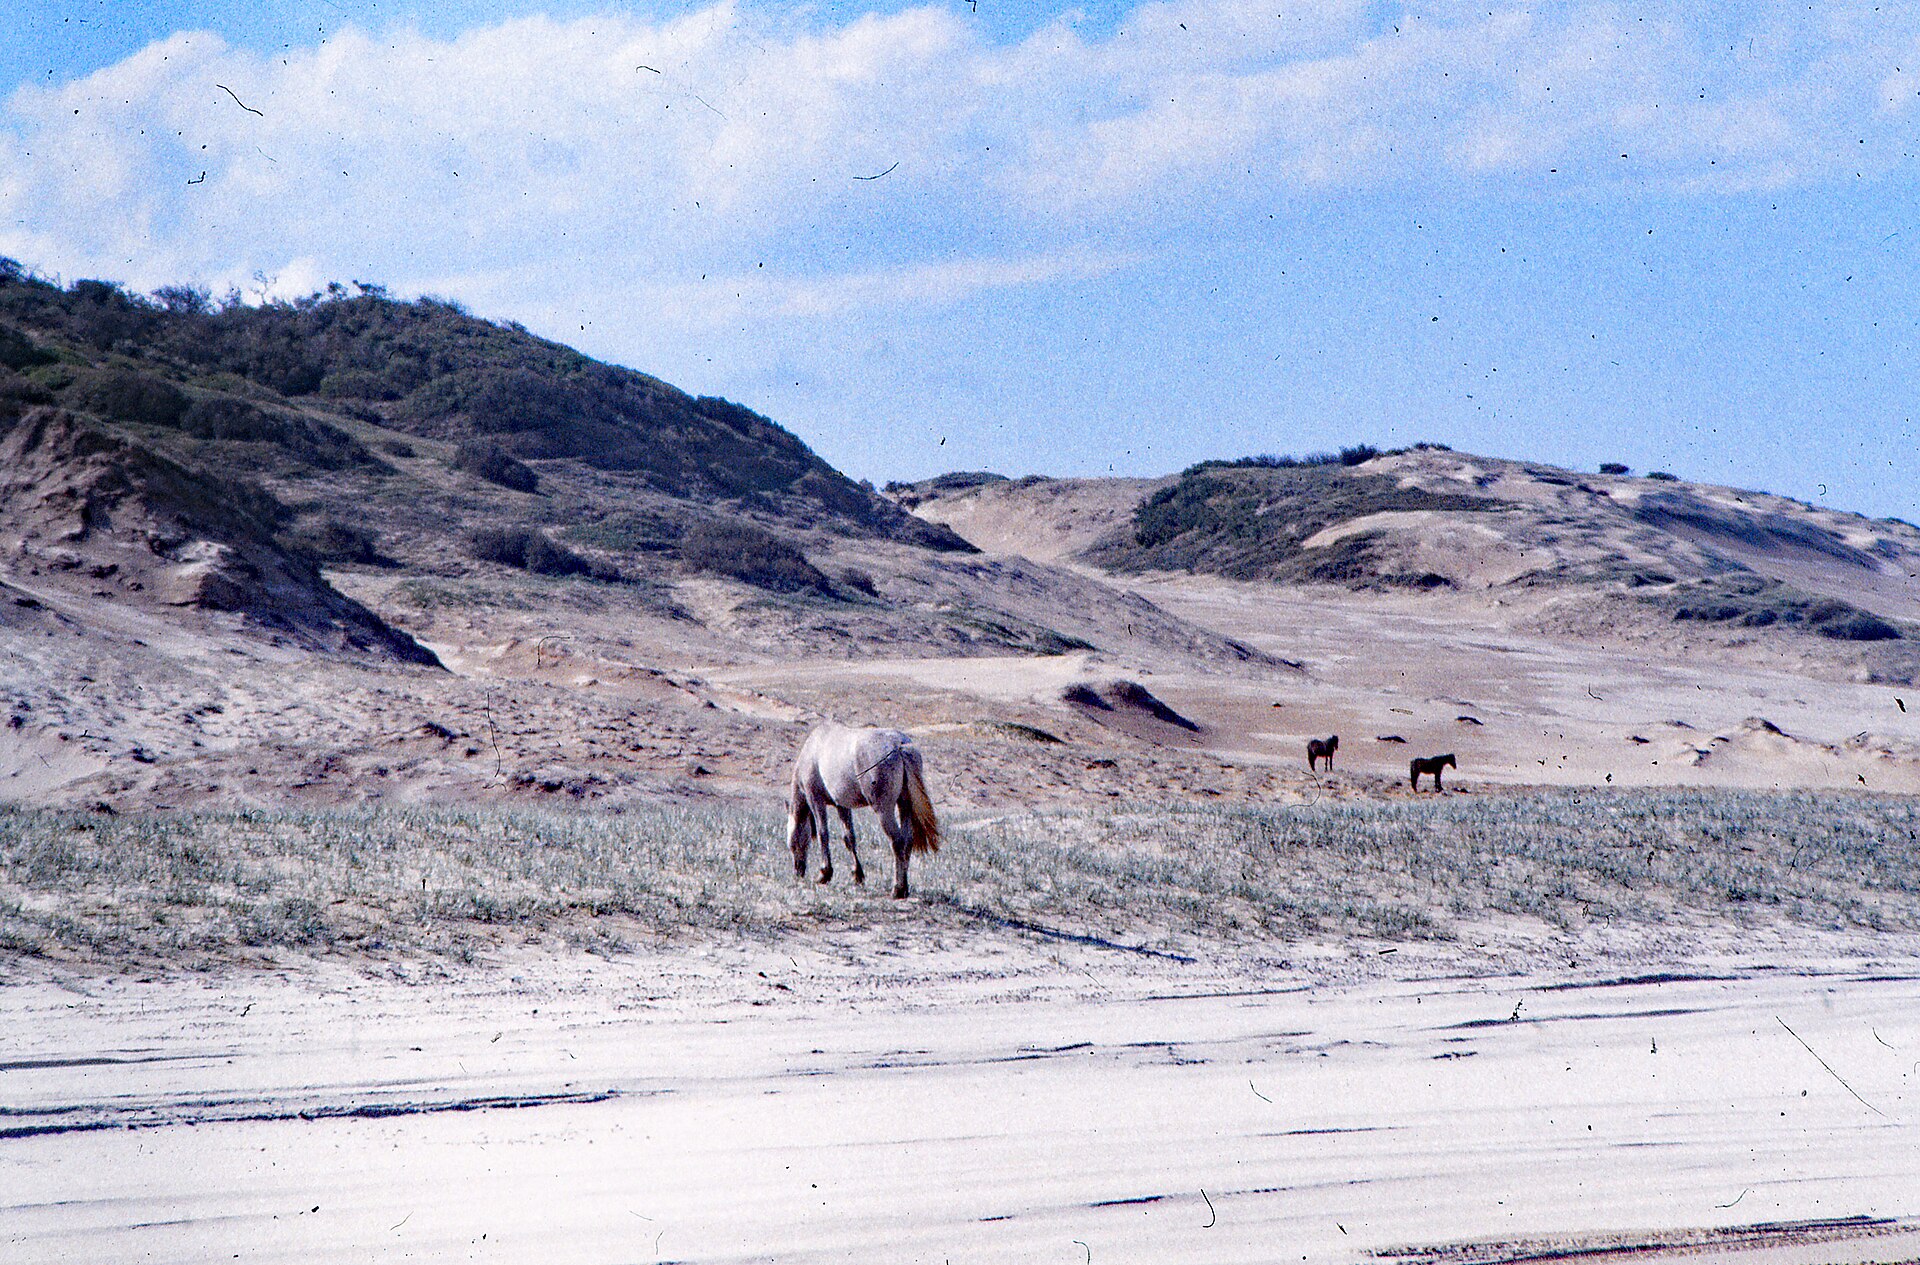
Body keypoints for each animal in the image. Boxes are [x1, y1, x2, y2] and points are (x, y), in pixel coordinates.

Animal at [787, 720, 940, 899]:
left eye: (792, 843)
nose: (798, 872)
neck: (813, 748)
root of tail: (899, 745)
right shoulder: (842, 806)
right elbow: (849, 838)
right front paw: (857, 874)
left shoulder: (815, 800)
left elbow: (823, 834)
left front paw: (824, 873)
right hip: (905, 806)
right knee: (907, 841)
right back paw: (905, 888)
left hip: (884, 811)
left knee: (897, 841)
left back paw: (897, 888)